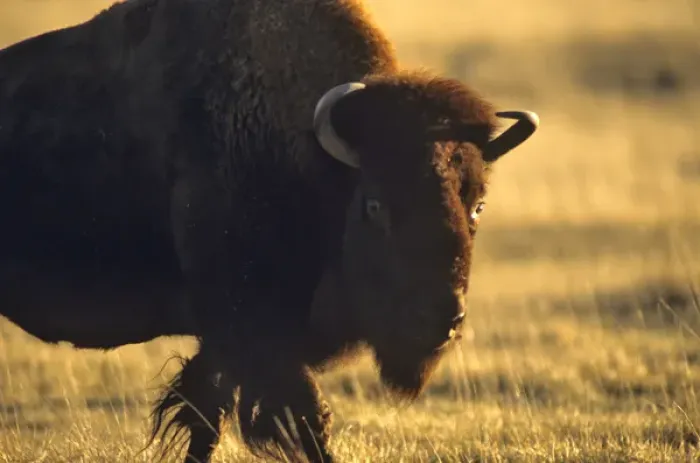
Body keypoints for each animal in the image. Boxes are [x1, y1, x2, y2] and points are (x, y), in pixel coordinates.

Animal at [0, 0, 539, 461]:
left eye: (478, 205)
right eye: (374, 204)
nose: (443, 318)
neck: (307, 155)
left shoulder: (227, 341)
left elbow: (209, 417)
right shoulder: (254, 329)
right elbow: (303, 418)